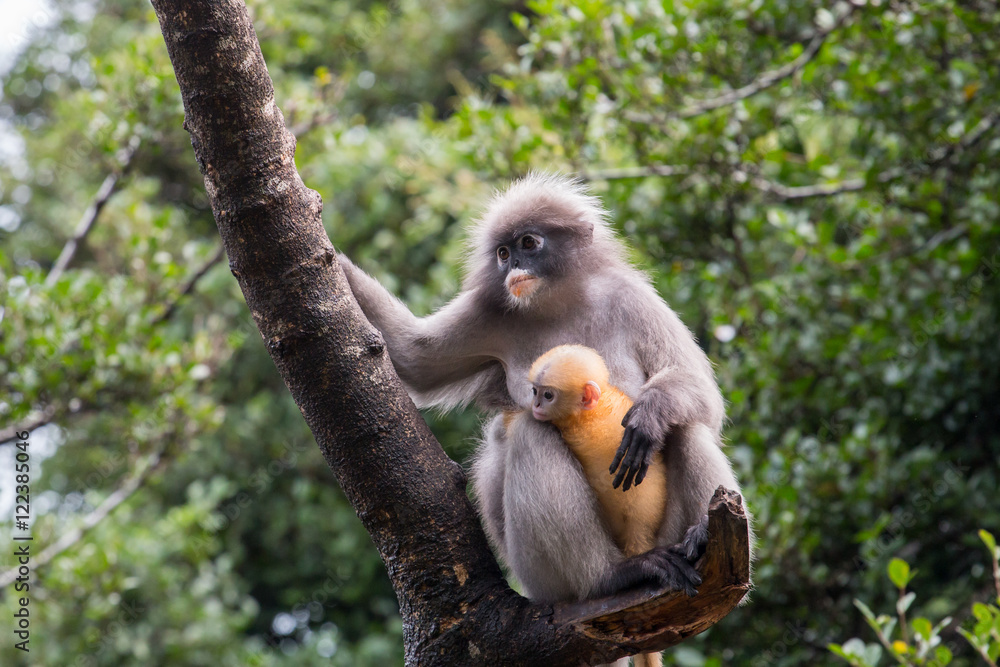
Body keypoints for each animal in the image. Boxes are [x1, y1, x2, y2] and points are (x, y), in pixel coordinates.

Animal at [338, 173, 743, 623]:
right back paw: (612, 576)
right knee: (531, 434)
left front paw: (649, 414)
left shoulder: (630, 295)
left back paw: (701, 536)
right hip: (541, 577)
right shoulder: (490, 310)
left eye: (528, 244)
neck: (556, 305)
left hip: (662, 534)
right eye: (502, 253)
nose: (513, 265)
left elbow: (704, 395)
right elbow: (411, 358)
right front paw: (328, 251)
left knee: (686, 426)